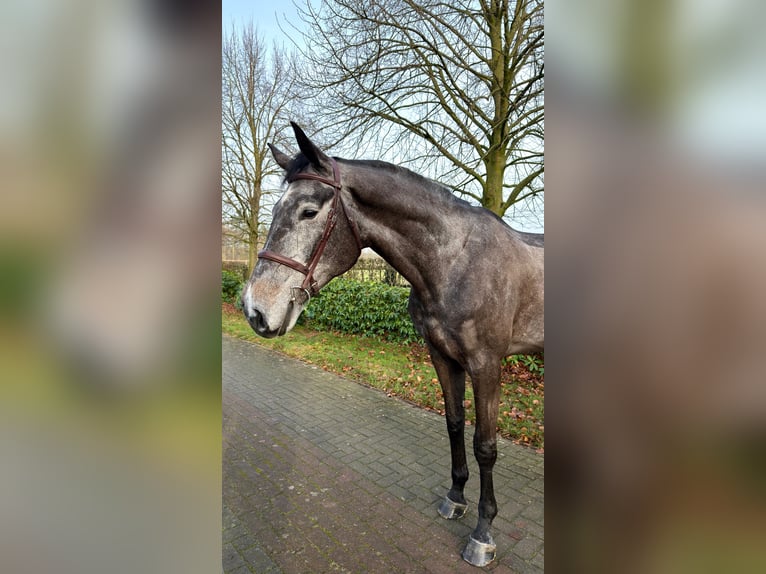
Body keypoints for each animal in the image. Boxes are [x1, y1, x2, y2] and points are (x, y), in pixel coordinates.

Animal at [241, 122, 544, 567]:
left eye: (308, 211)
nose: (255, 309)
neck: (456, 261)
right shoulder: (443, 357)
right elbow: (454, 424)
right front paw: (455, 498)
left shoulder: (487, 364)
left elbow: (485, 446)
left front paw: (483, 533)